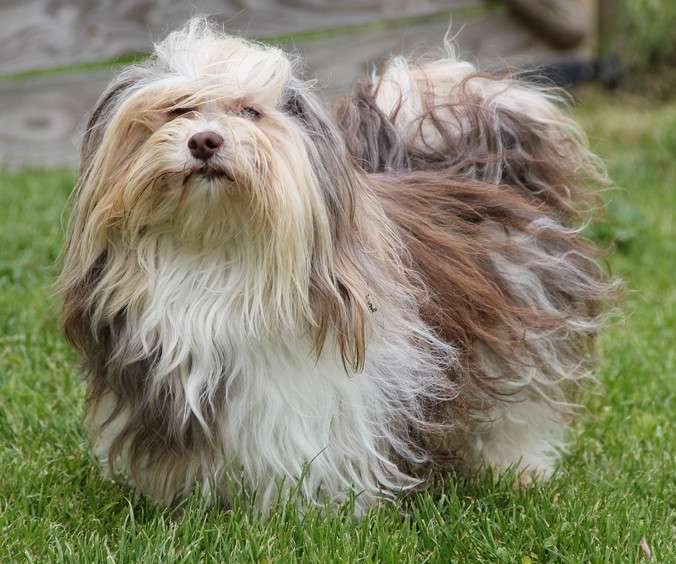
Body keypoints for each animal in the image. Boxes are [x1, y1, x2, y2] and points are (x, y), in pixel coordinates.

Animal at [58, 18, 616, 512]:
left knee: (517, 414)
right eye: (178, 110)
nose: (205, 140)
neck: (213, 253)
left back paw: (518, 472)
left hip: (518, 339)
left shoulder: (314, 395)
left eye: (250, 112)